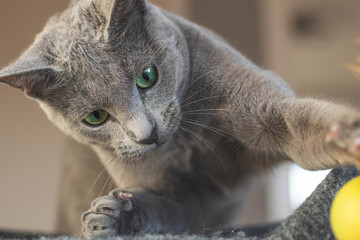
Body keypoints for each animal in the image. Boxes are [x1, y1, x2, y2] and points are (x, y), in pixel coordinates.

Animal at [0, 0, 360, 237]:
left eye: (147, 76)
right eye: (96, 117)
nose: (146, 134)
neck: (185, 141)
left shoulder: (261, 108)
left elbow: (298, 124)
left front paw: (346, 136)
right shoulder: (181, 197)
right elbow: (170, 208)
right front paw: (112, 217)